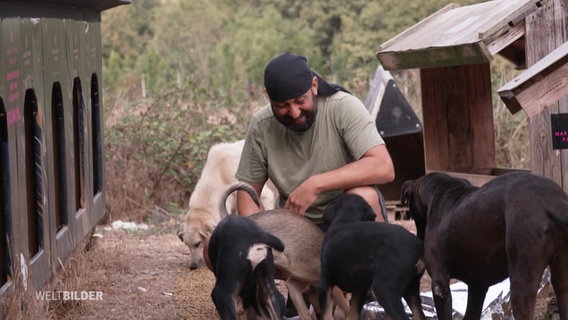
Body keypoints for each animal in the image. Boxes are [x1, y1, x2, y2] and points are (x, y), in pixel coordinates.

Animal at [318, 192, 424, 320]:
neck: (346, 219)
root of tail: (418, 245)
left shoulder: (325, 282)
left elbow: (326, 315)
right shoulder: (360, 289)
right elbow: (352, 314)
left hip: (385, 288)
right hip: (411, 289)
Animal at [400, 172, 568, 320]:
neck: (443, 189)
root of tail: (553, 202)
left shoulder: (439, 283)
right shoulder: (477, 286)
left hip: (522, 282)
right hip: (562, 283)